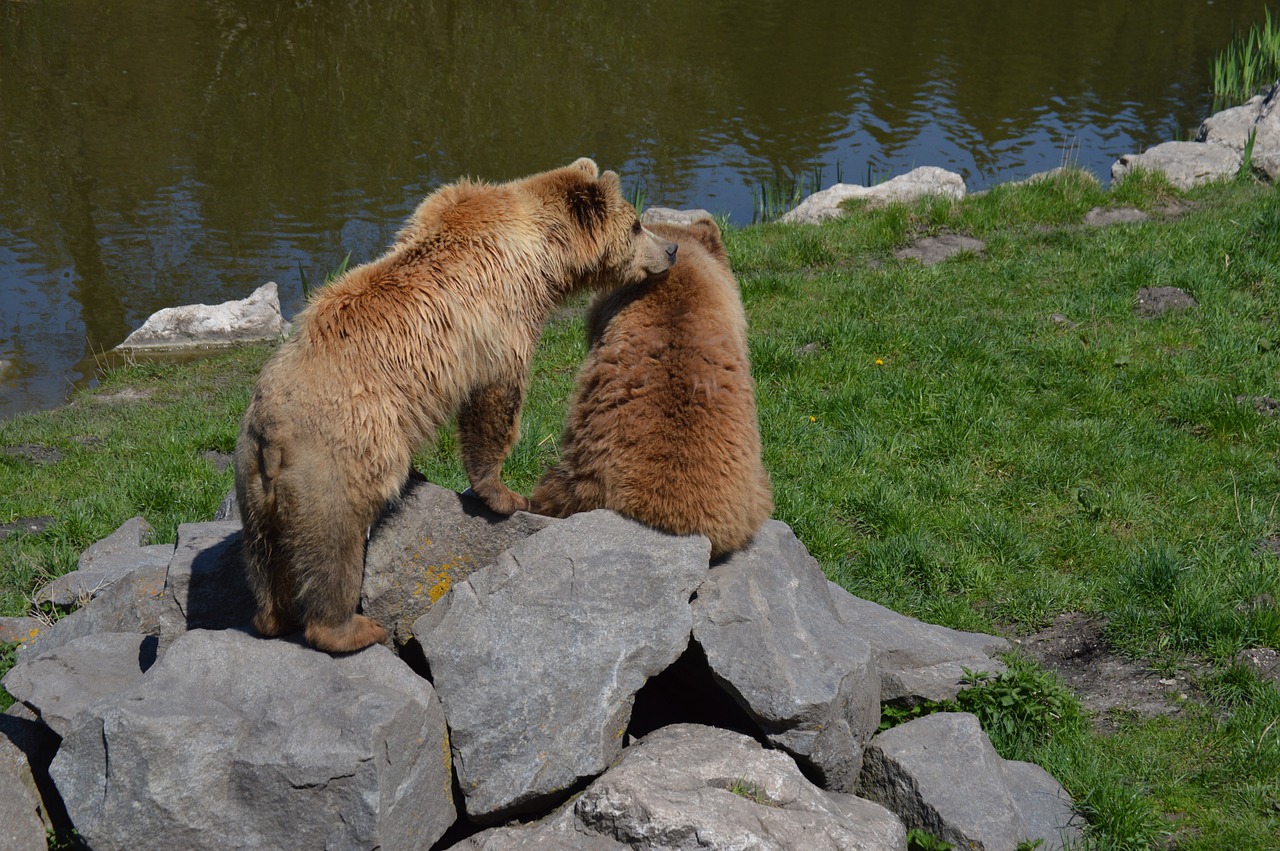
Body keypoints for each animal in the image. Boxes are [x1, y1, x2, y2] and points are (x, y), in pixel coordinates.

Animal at [234, 157, 675, 650]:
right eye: (636, 224)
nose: (672, 248)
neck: (543, 254)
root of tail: (272, 428)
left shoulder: (441, 206)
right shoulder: (502, 313)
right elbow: (496, 399)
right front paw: (505, 495)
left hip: (252, 477)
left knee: (264, 555)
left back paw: (273, 618)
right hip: (339, 456)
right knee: (334, 543)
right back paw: (351, 628)